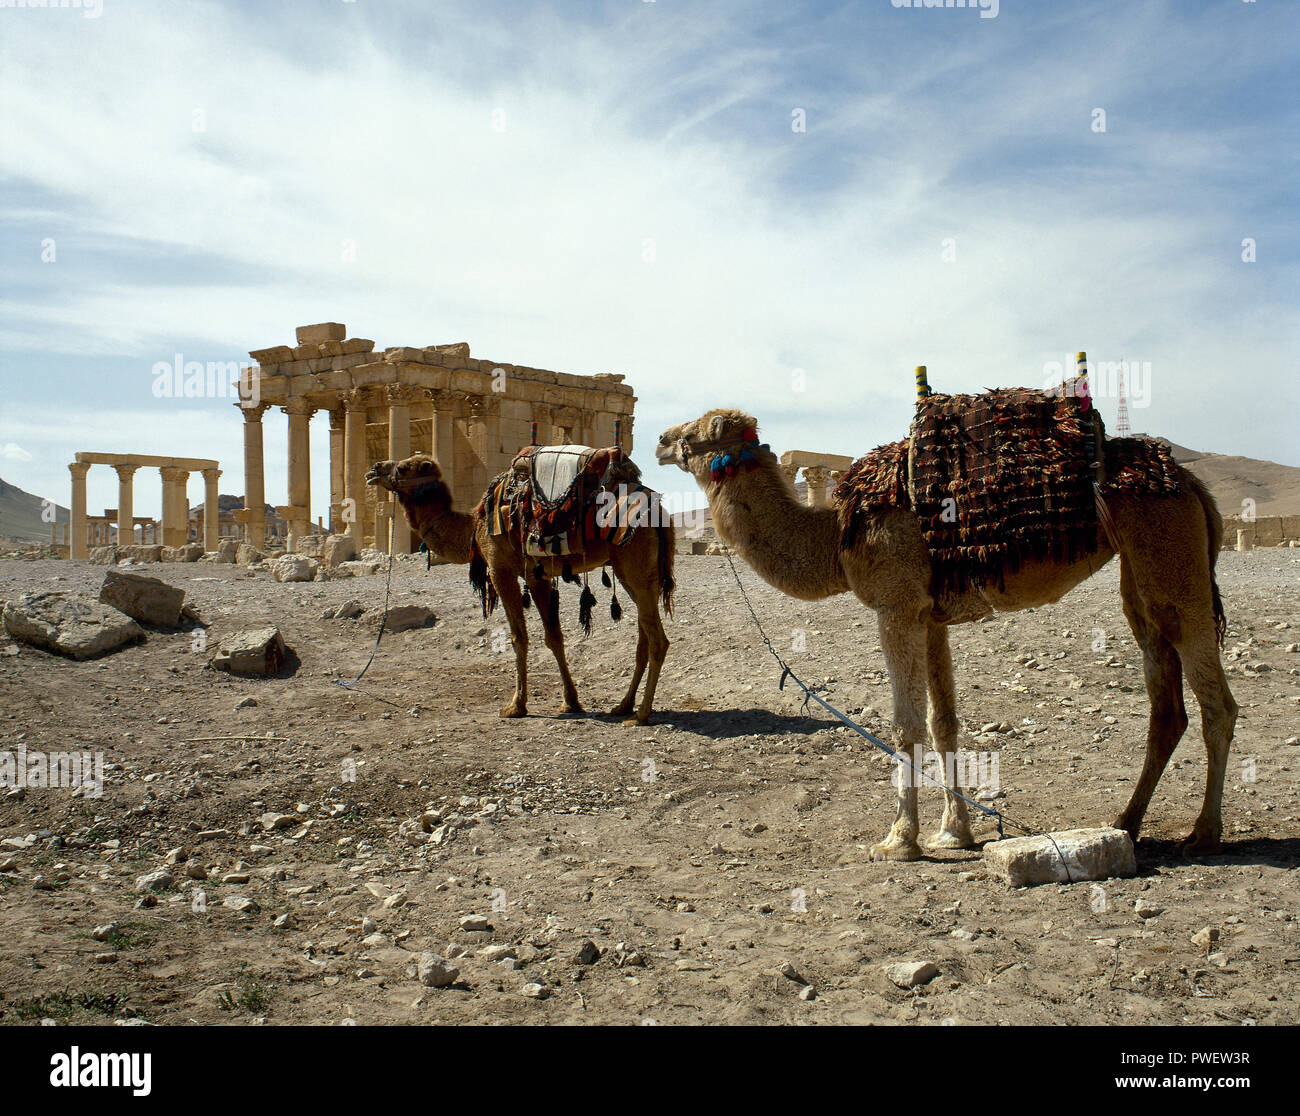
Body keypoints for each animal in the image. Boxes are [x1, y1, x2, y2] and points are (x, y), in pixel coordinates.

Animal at [364, 452, 670, 723]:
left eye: (403, 467)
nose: (374, 469)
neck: (473, 526)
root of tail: (659, 509)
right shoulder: (535, 575)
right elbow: (554, 637)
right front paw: (570, 701)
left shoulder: (500, 570)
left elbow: (518, 637)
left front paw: (515, 706)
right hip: (634, 573)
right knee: (645, 634)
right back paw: (623, 705)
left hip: (634, 564)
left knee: (658, 639)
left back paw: (641, 715)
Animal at [660, 403, 1237, 858]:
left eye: (699, 430)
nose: (662, 441)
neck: (838, 537)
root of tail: (1191, 485)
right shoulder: (930, 617)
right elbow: (944, 723)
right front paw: (953, 832)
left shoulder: (896, 606)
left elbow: (906, 725)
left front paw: (899, 840)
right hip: (1141, 572)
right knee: (1166, 699)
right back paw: (1126, 822)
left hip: (1169, 549)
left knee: (1217, 702)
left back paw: (1204, 834)